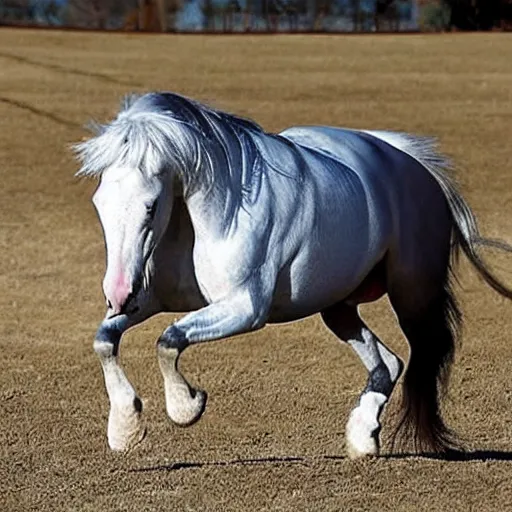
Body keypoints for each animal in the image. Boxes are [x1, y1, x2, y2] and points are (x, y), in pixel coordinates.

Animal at [72, 91, 512, 456]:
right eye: (98, 202)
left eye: (150, 206)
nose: (117, 292)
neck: (209, 215)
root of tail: (412, 164)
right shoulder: (153, 300)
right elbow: (104, 340)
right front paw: (125, 428)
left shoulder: (245, 308)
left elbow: (169, 340)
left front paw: (186, 406)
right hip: (338, 307)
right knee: (387, 364)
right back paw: (362, 437)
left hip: (412, 295)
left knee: (423, 353)